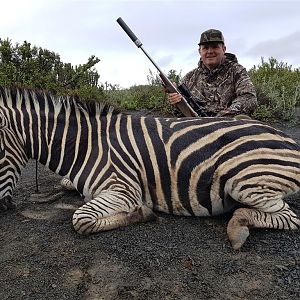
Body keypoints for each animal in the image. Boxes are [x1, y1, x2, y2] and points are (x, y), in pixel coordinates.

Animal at [0, 85, 298, 250]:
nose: (2, 207)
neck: (87, 146)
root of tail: (287, 138)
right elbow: (66, 185)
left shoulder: (123, 190)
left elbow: (80, 220)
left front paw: (141, 213)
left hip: (244, 181)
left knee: (288, 217)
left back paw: (238, 226)